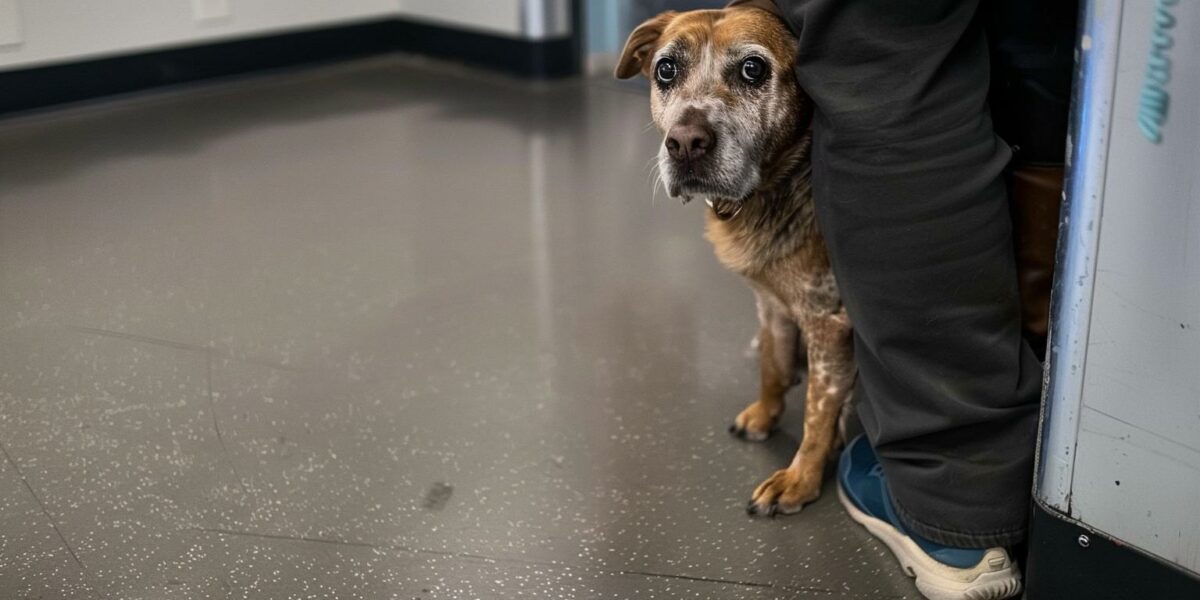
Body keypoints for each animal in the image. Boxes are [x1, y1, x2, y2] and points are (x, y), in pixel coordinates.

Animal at [614, 7, 859, 516]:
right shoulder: (771, 303)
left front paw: (800, 479)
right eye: (666, 70)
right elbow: (773, 365)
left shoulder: (829, 322)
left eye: (752, 69)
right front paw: (764, 415)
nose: (685, 143)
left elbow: (818, 410)